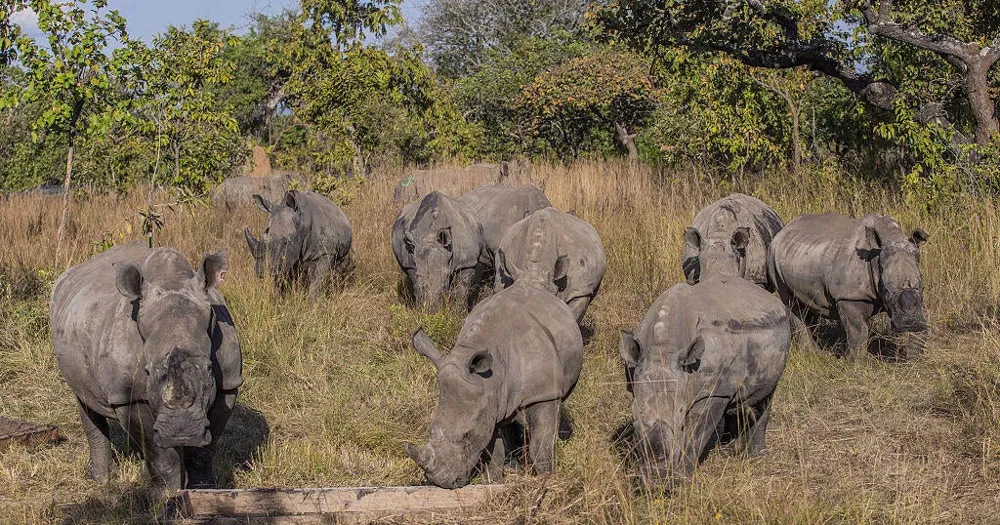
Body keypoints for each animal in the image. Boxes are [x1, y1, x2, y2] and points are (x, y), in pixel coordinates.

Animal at [50, 241, 242, 494]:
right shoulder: (127, 396)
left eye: (210, 369)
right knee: (84, 398)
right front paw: (166, 498)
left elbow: (204, 451)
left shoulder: (228, 384)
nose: (181, 433)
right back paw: (102, 480)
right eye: (148, 371)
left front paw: (203, 491)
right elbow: (161, 456)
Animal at [405, 234, 584, 488]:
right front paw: (493, 479)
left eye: (466, 435)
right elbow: (493, 445)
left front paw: (545, 478)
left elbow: (540, 443)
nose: (440, 482)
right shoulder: (489, 395)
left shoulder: (543, 392)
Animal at [620, 276, 790, 488]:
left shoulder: (711, 393)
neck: (662, 350)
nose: (657, 480)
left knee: (765, 397)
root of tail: (769, 297)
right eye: (634, 426)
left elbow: (696, 436)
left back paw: (756, 457)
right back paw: (728, 450)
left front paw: (682, 482)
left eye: (681, 424)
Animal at [767, 213, 929, 358]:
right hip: (773, 259)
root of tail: (784, 230)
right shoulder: (849, 296)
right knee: (791, 304)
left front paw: (913, 360)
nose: (909, 324)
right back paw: (813, 354)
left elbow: (923, 324)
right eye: (886, 290)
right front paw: (855, 363)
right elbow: (859, 331)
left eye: (921, 286)